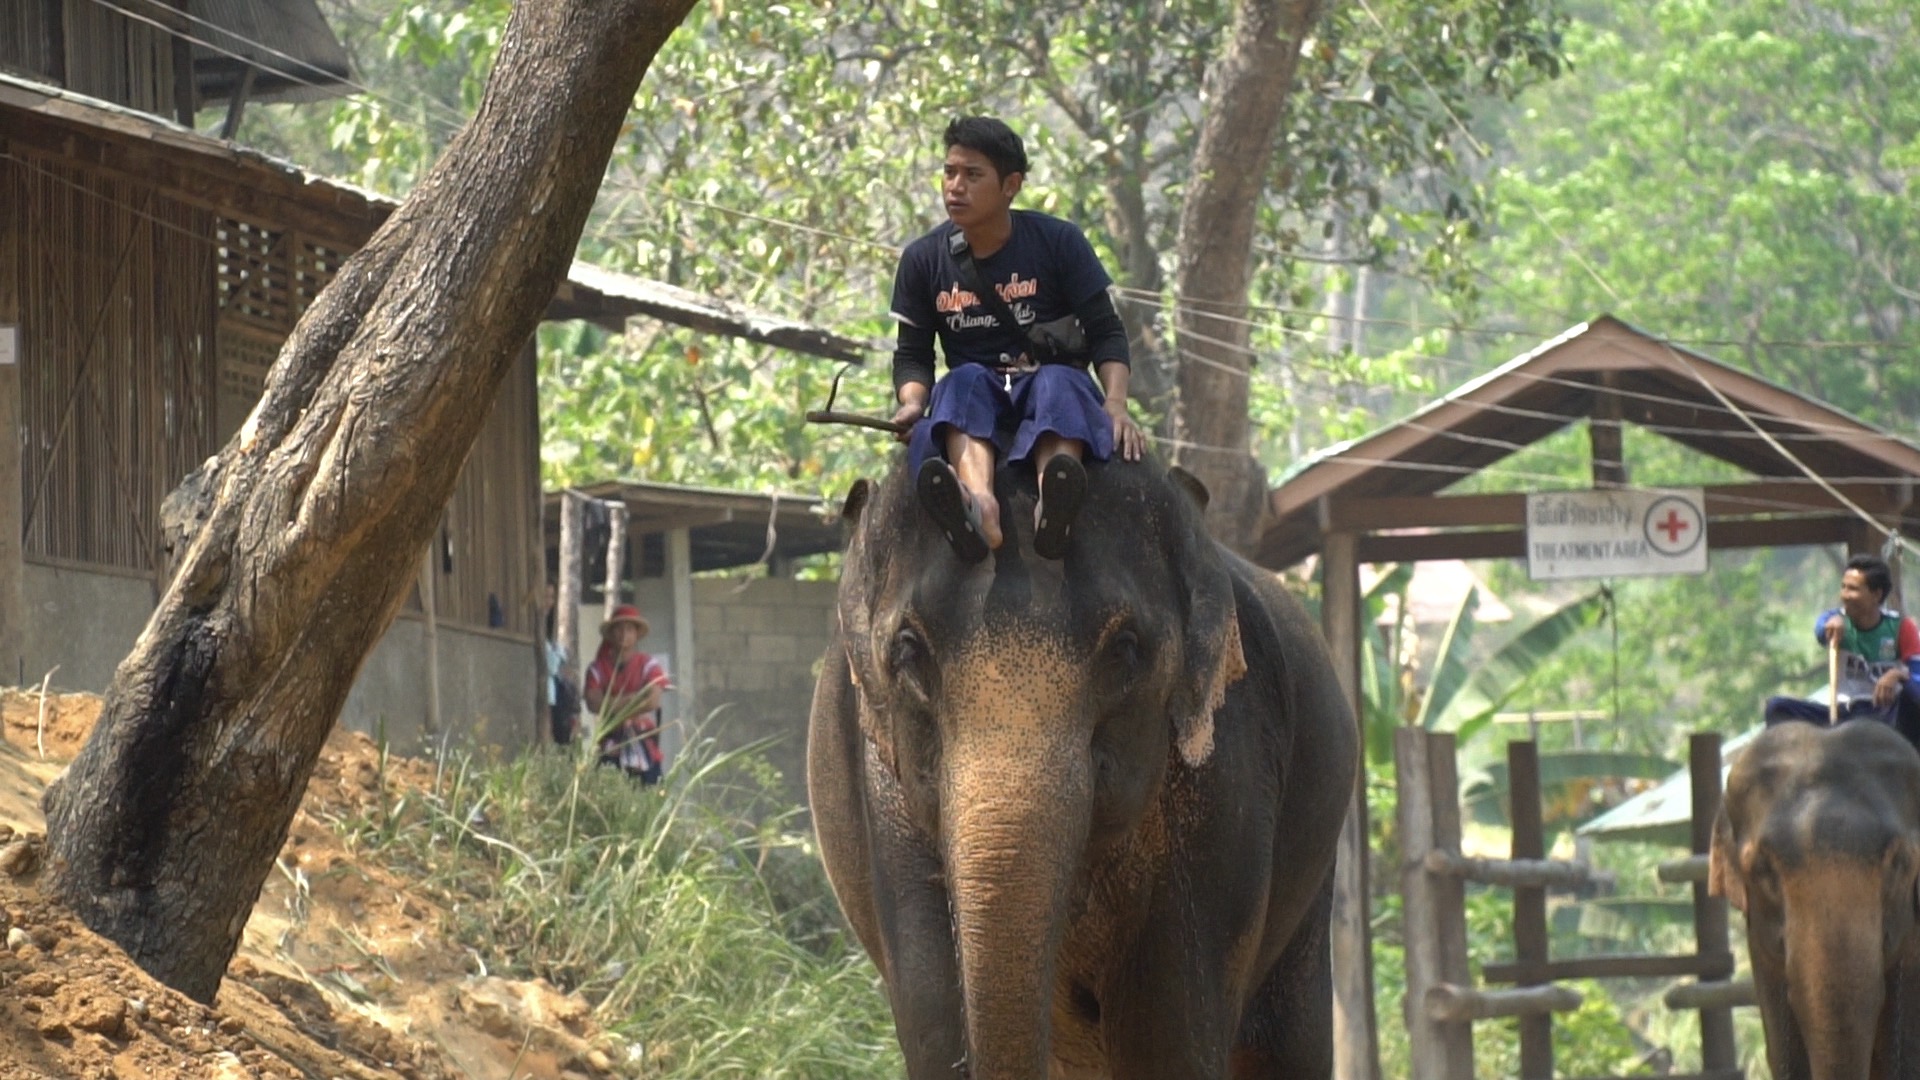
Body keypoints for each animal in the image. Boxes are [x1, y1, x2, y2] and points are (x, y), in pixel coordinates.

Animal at [802, 455, 1359, 1076]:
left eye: (1125, 648)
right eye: (908, 649)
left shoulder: (1226, 773)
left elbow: (1169, 1037)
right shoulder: (881, 787)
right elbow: (935, 1024)